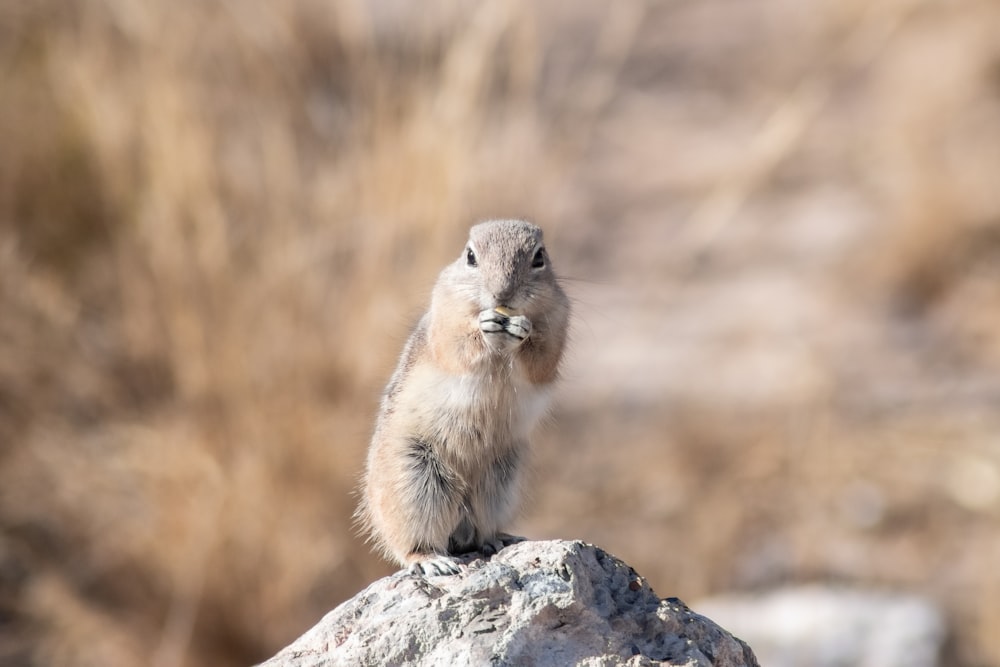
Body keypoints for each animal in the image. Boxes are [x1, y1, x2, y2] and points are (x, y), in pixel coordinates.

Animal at [358, 222, 572, 576]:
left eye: (539, 257)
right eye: (470, 256)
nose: (501, 295)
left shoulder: (558, 322)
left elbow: (542, 358)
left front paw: (522, 328)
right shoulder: (445, 315)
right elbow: (457, 344)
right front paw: (484, 325)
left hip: (501, 481)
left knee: (483, 528)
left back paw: (497, 540)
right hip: (416, 482)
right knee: (409, 544)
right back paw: (433, 561)